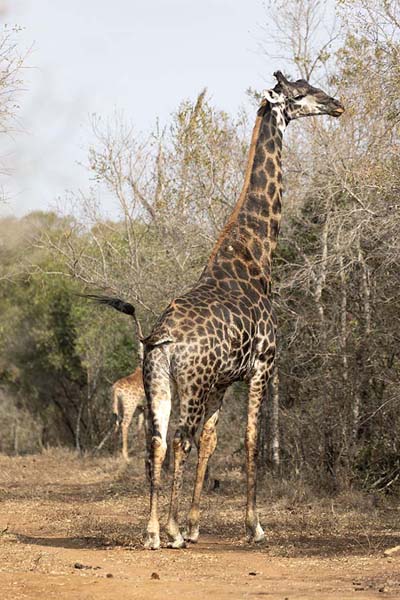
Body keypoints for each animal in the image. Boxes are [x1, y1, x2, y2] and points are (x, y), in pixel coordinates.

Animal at [90, 71, 344, 548]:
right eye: (300, 93)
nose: (336, 104)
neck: (254, 257)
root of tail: (159, 338)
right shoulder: (263, 367)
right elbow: (250, 439)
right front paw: (254, 525)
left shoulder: (223, 382)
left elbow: (211, 440)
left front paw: (193, 525)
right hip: (190, 384)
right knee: (179, 441)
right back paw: (168, 530)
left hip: (159, 384)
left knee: (158, 444)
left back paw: (153, 530)